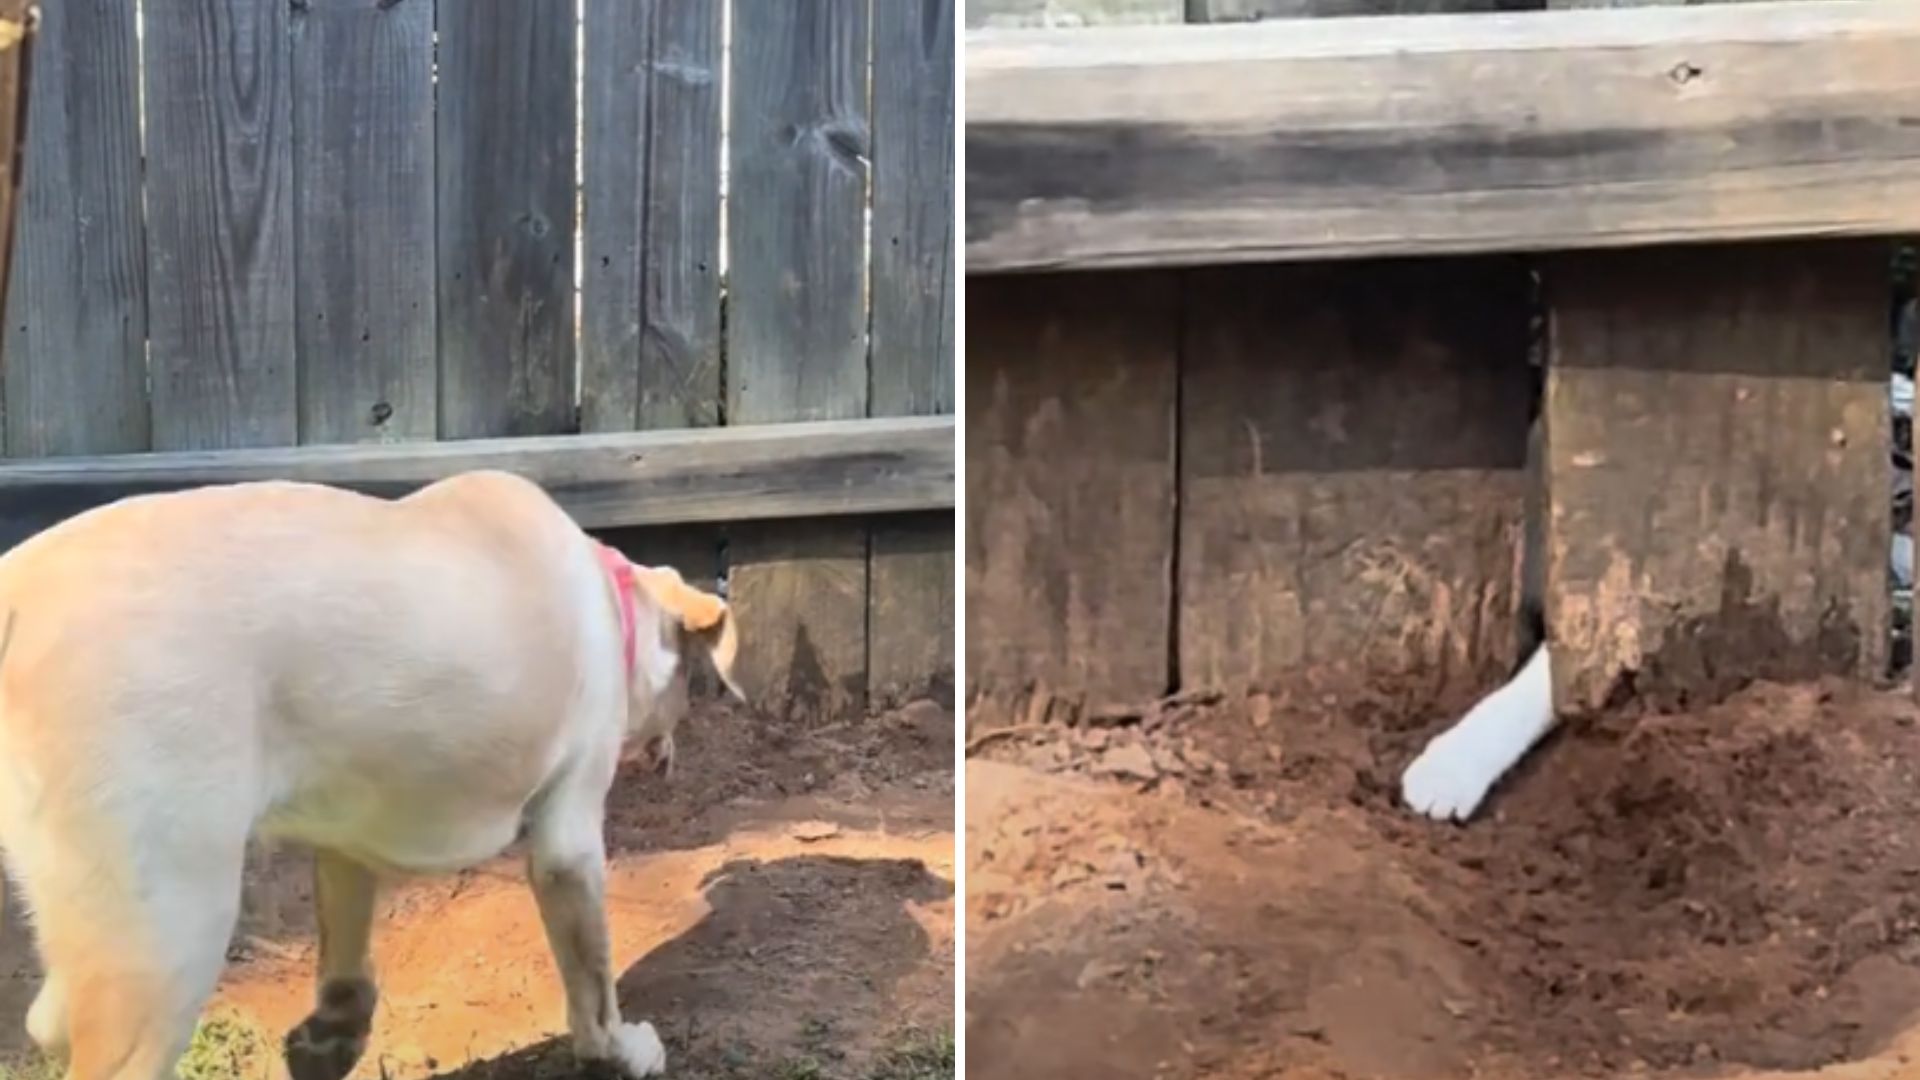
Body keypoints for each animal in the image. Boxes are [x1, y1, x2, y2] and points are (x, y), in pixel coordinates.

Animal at [0, 470, 737, 1076]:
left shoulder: (346, 837)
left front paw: (330, 1037)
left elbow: (347, 954)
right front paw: (624, 1051)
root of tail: (16, 590)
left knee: (48, 1019)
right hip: (173, 932)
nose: (671, 745)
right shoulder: (570, 840)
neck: (611, 602)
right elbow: (594, 987)